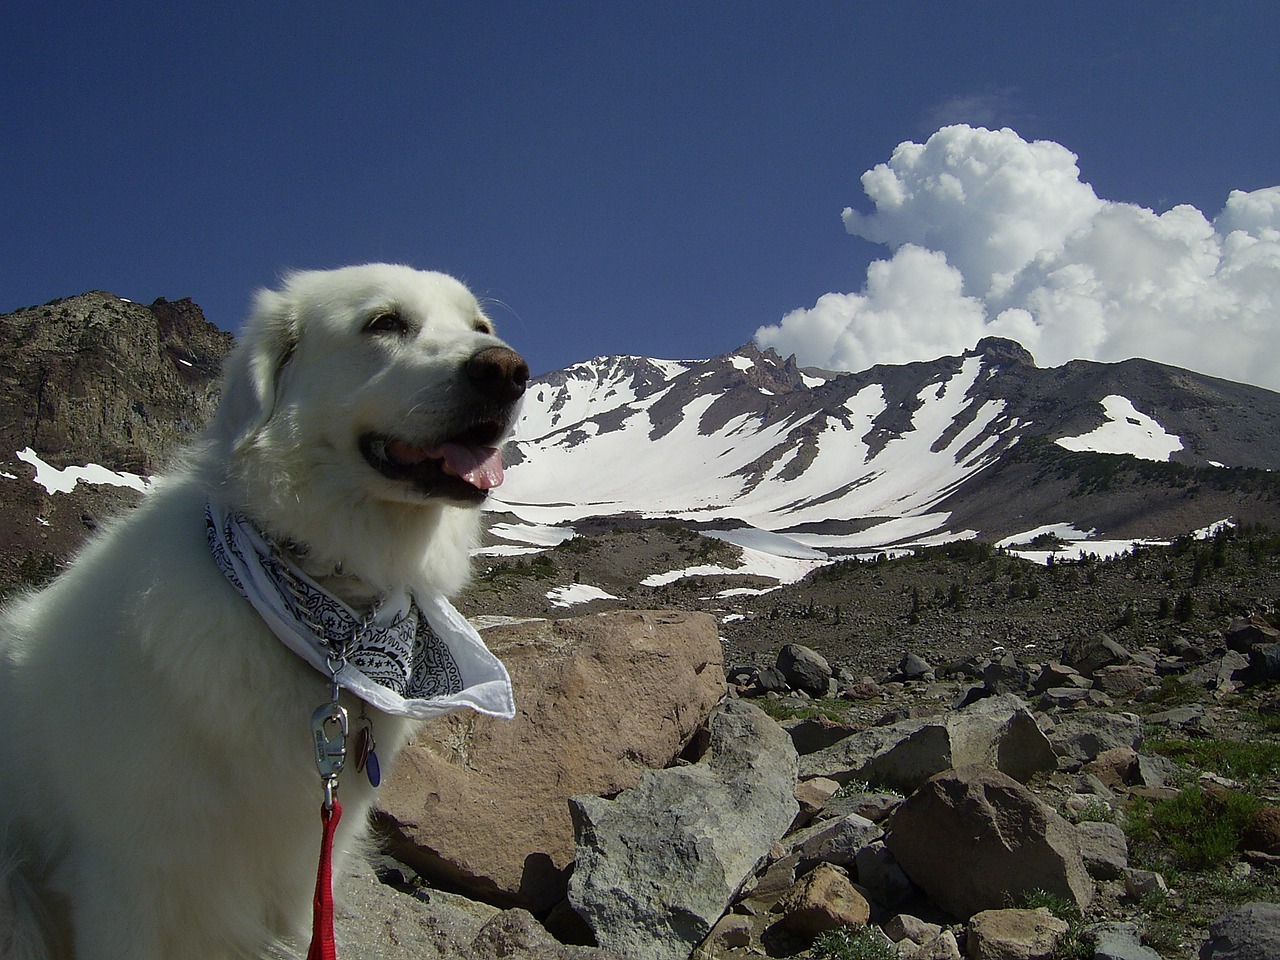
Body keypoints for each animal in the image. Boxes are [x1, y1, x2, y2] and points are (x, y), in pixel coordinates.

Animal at [0, 264, 527, 960]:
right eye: (385, 322)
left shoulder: (298, 884)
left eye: (480, 327)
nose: (508, 370)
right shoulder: (122, 883)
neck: (329, 614)